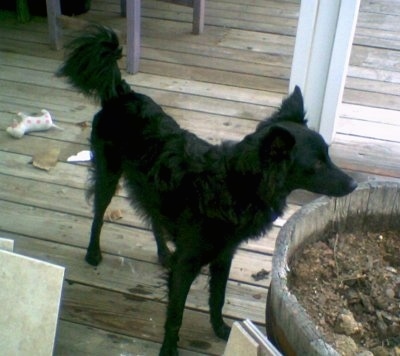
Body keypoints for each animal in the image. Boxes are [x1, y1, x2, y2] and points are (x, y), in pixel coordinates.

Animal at [57, 26, 358, 354]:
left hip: (150, 187)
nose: (355, 184)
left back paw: (163, 252)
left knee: (153, 215)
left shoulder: (224, 256)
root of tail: (122, 93)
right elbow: (175, 313)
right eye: (316, 164)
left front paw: (222, 330)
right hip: (108, 174)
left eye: (328, 156)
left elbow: (218, 298)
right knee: (98, 214)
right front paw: (169, 349)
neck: (236, 183)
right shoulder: (188, 263)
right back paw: (93, 253)